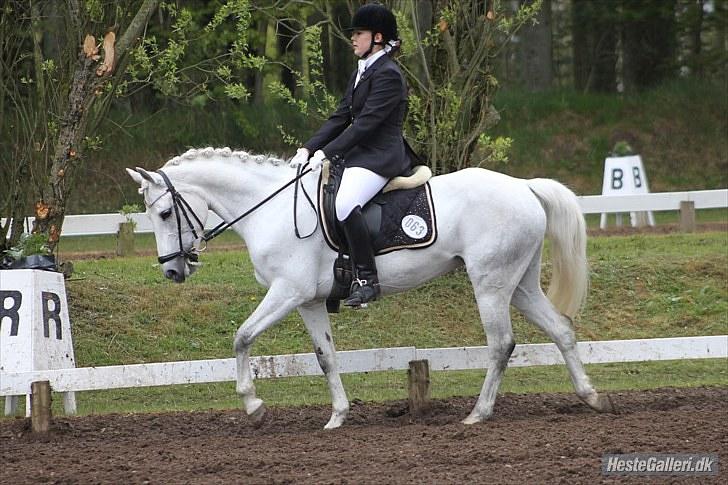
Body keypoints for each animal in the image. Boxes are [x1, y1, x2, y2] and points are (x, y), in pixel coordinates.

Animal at [126, 147, 615, 429]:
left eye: (165, 214)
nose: (172, 272)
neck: (271, 209)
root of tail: (525, 187)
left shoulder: (286, 292)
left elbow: (242, 336)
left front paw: (253, 405)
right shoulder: (308, 301)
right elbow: (325, 357)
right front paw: (337, 417)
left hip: (490, 283)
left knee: (502, 344)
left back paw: (478, 414)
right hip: (520, 284)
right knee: (561, 329)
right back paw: (591, 397)